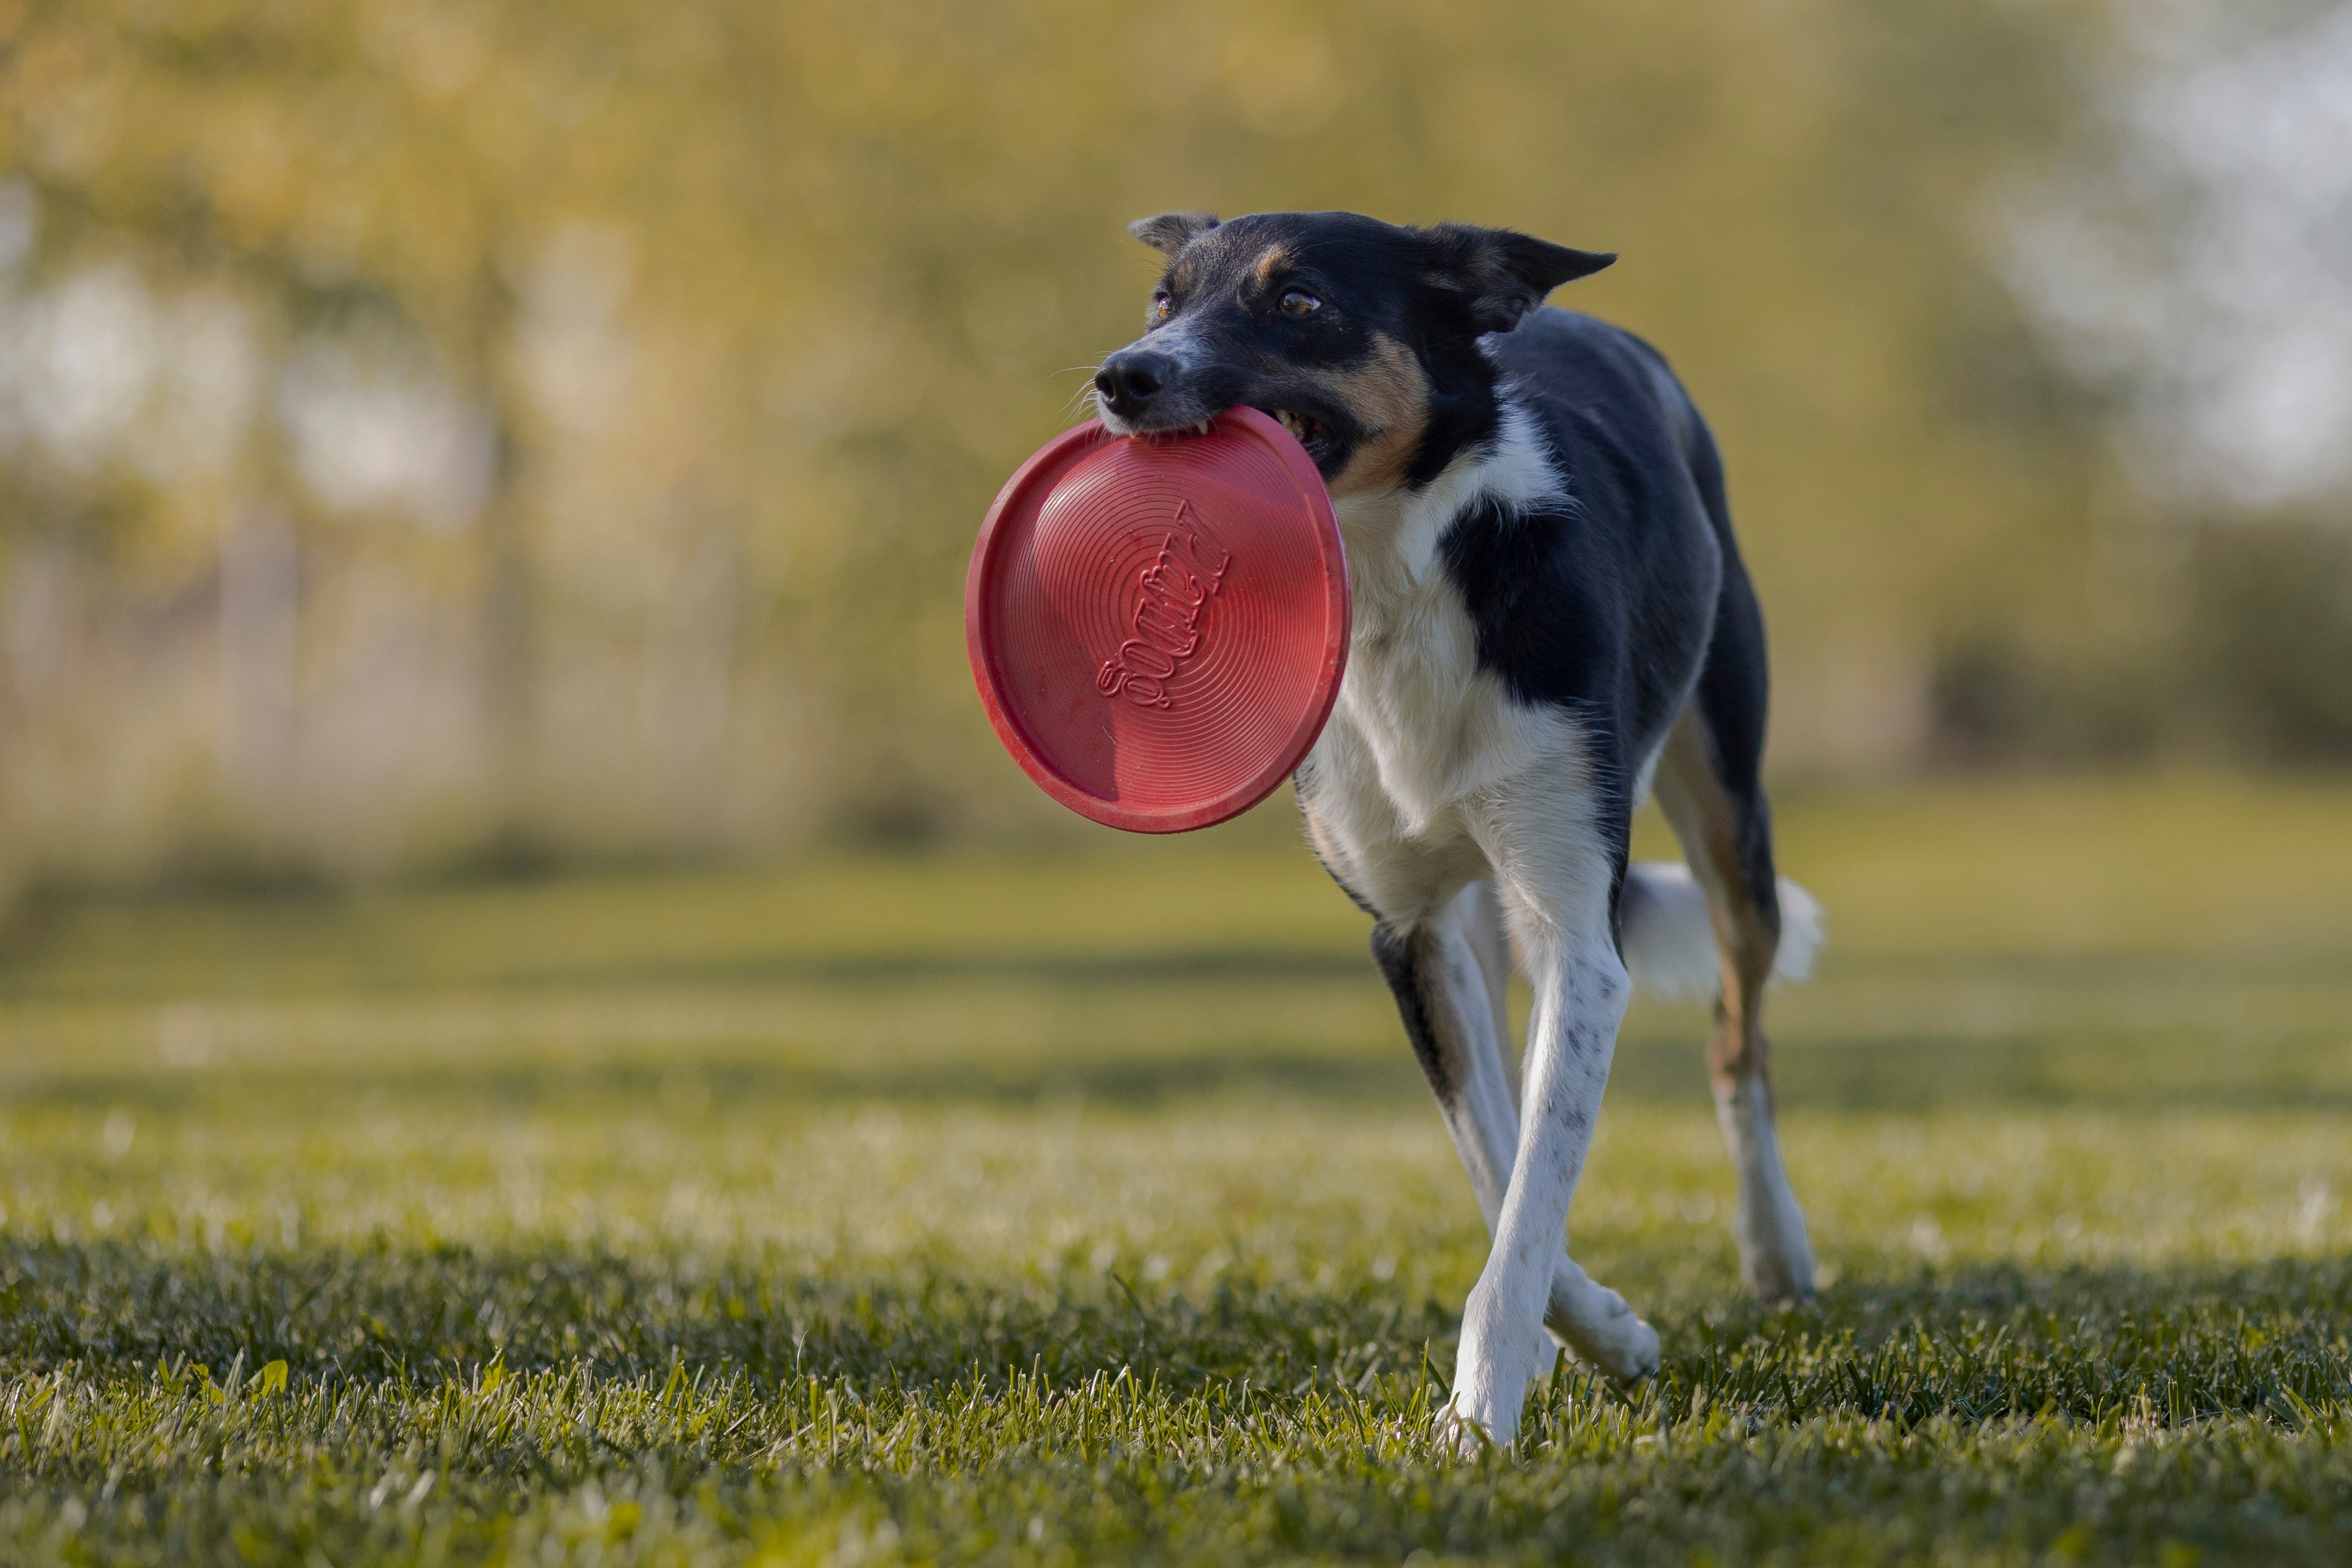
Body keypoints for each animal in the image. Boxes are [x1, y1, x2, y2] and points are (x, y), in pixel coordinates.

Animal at [1091, 212, 1825, 1457]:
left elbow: (1530, 1190)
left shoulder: (1581, 932)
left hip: (1731, 819)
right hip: (1490, 914)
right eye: (1162, 299)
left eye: (1299, 304)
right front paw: (1591, 1332)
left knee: (1742, 1035)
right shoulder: (1413, 935)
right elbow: (1497, 1159)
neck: (1395, 580)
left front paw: (1481, 1414)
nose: (1121, 378)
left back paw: (1776, 1250)